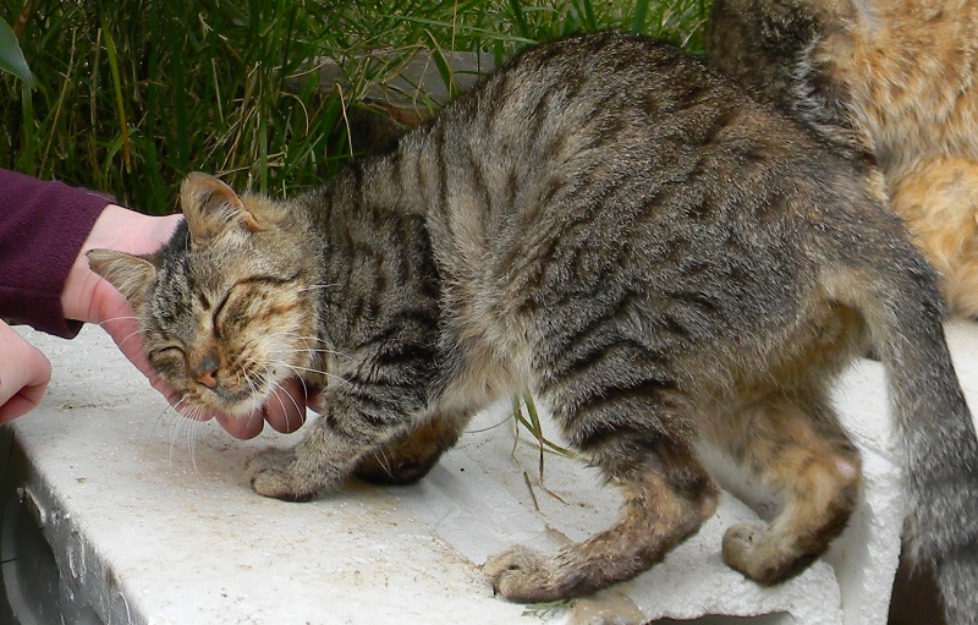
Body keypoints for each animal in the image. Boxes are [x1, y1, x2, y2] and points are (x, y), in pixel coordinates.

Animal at [87, 33, 976, 620]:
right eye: (169, 351)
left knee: (678, 493)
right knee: (833, 465)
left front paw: (300, 468)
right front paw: (394, 461)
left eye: (223, 307)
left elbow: (350, 416)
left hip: (579, 326)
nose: (206, 375)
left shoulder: (406, 327)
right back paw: (765, 558)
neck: (325, 247)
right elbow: (429, 416)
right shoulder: (468, 358)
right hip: (738, 389)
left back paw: (549, 575)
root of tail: (858, 211)